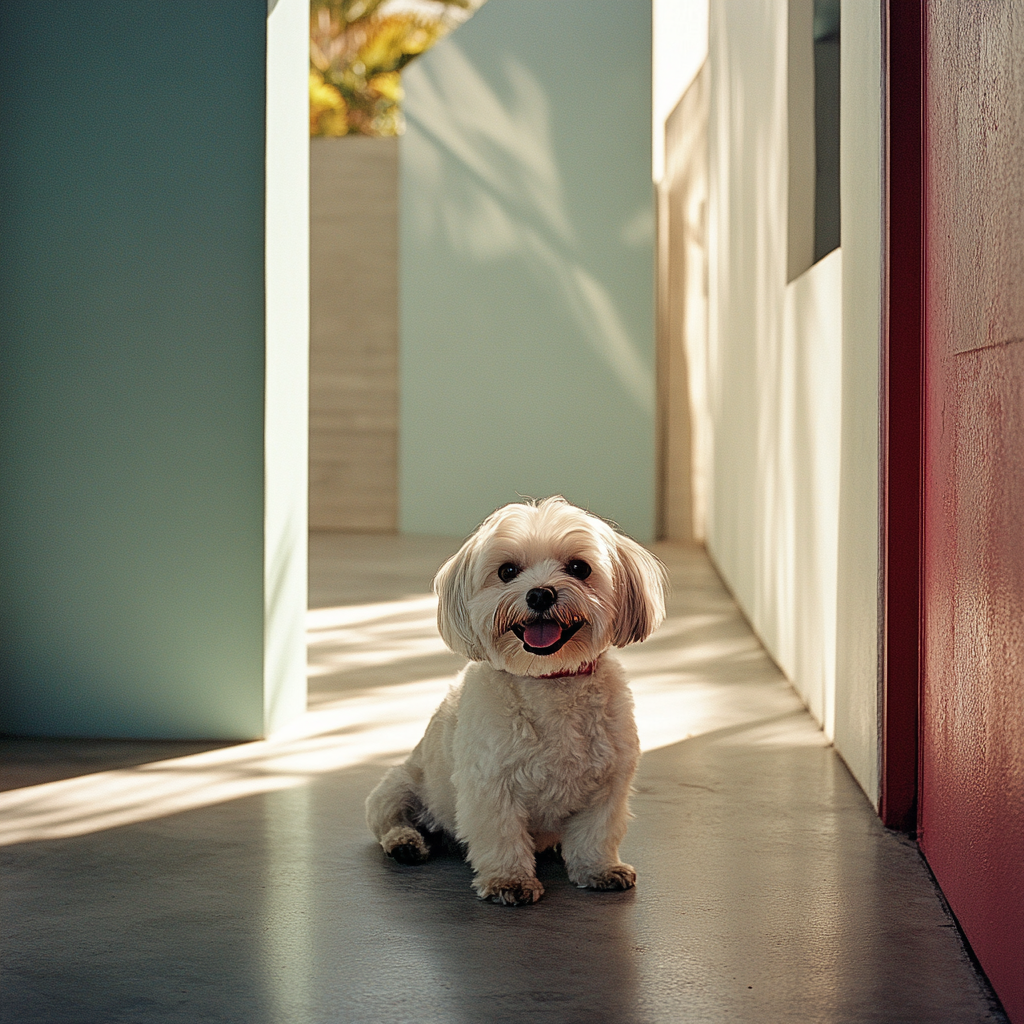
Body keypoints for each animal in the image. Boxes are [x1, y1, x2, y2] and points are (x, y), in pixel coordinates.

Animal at [364, 495, 667, 905]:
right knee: (392, 819)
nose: (540, 593)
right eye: (507, 571)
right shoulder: (491, 786)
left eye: (579, 568)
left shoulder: (607, 786)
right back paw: (406, 842)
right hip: (400, 786)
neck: (549, 680)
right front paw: (509, 881)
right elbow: (502, 836)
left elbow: (595, 834)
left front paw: (599, 869)